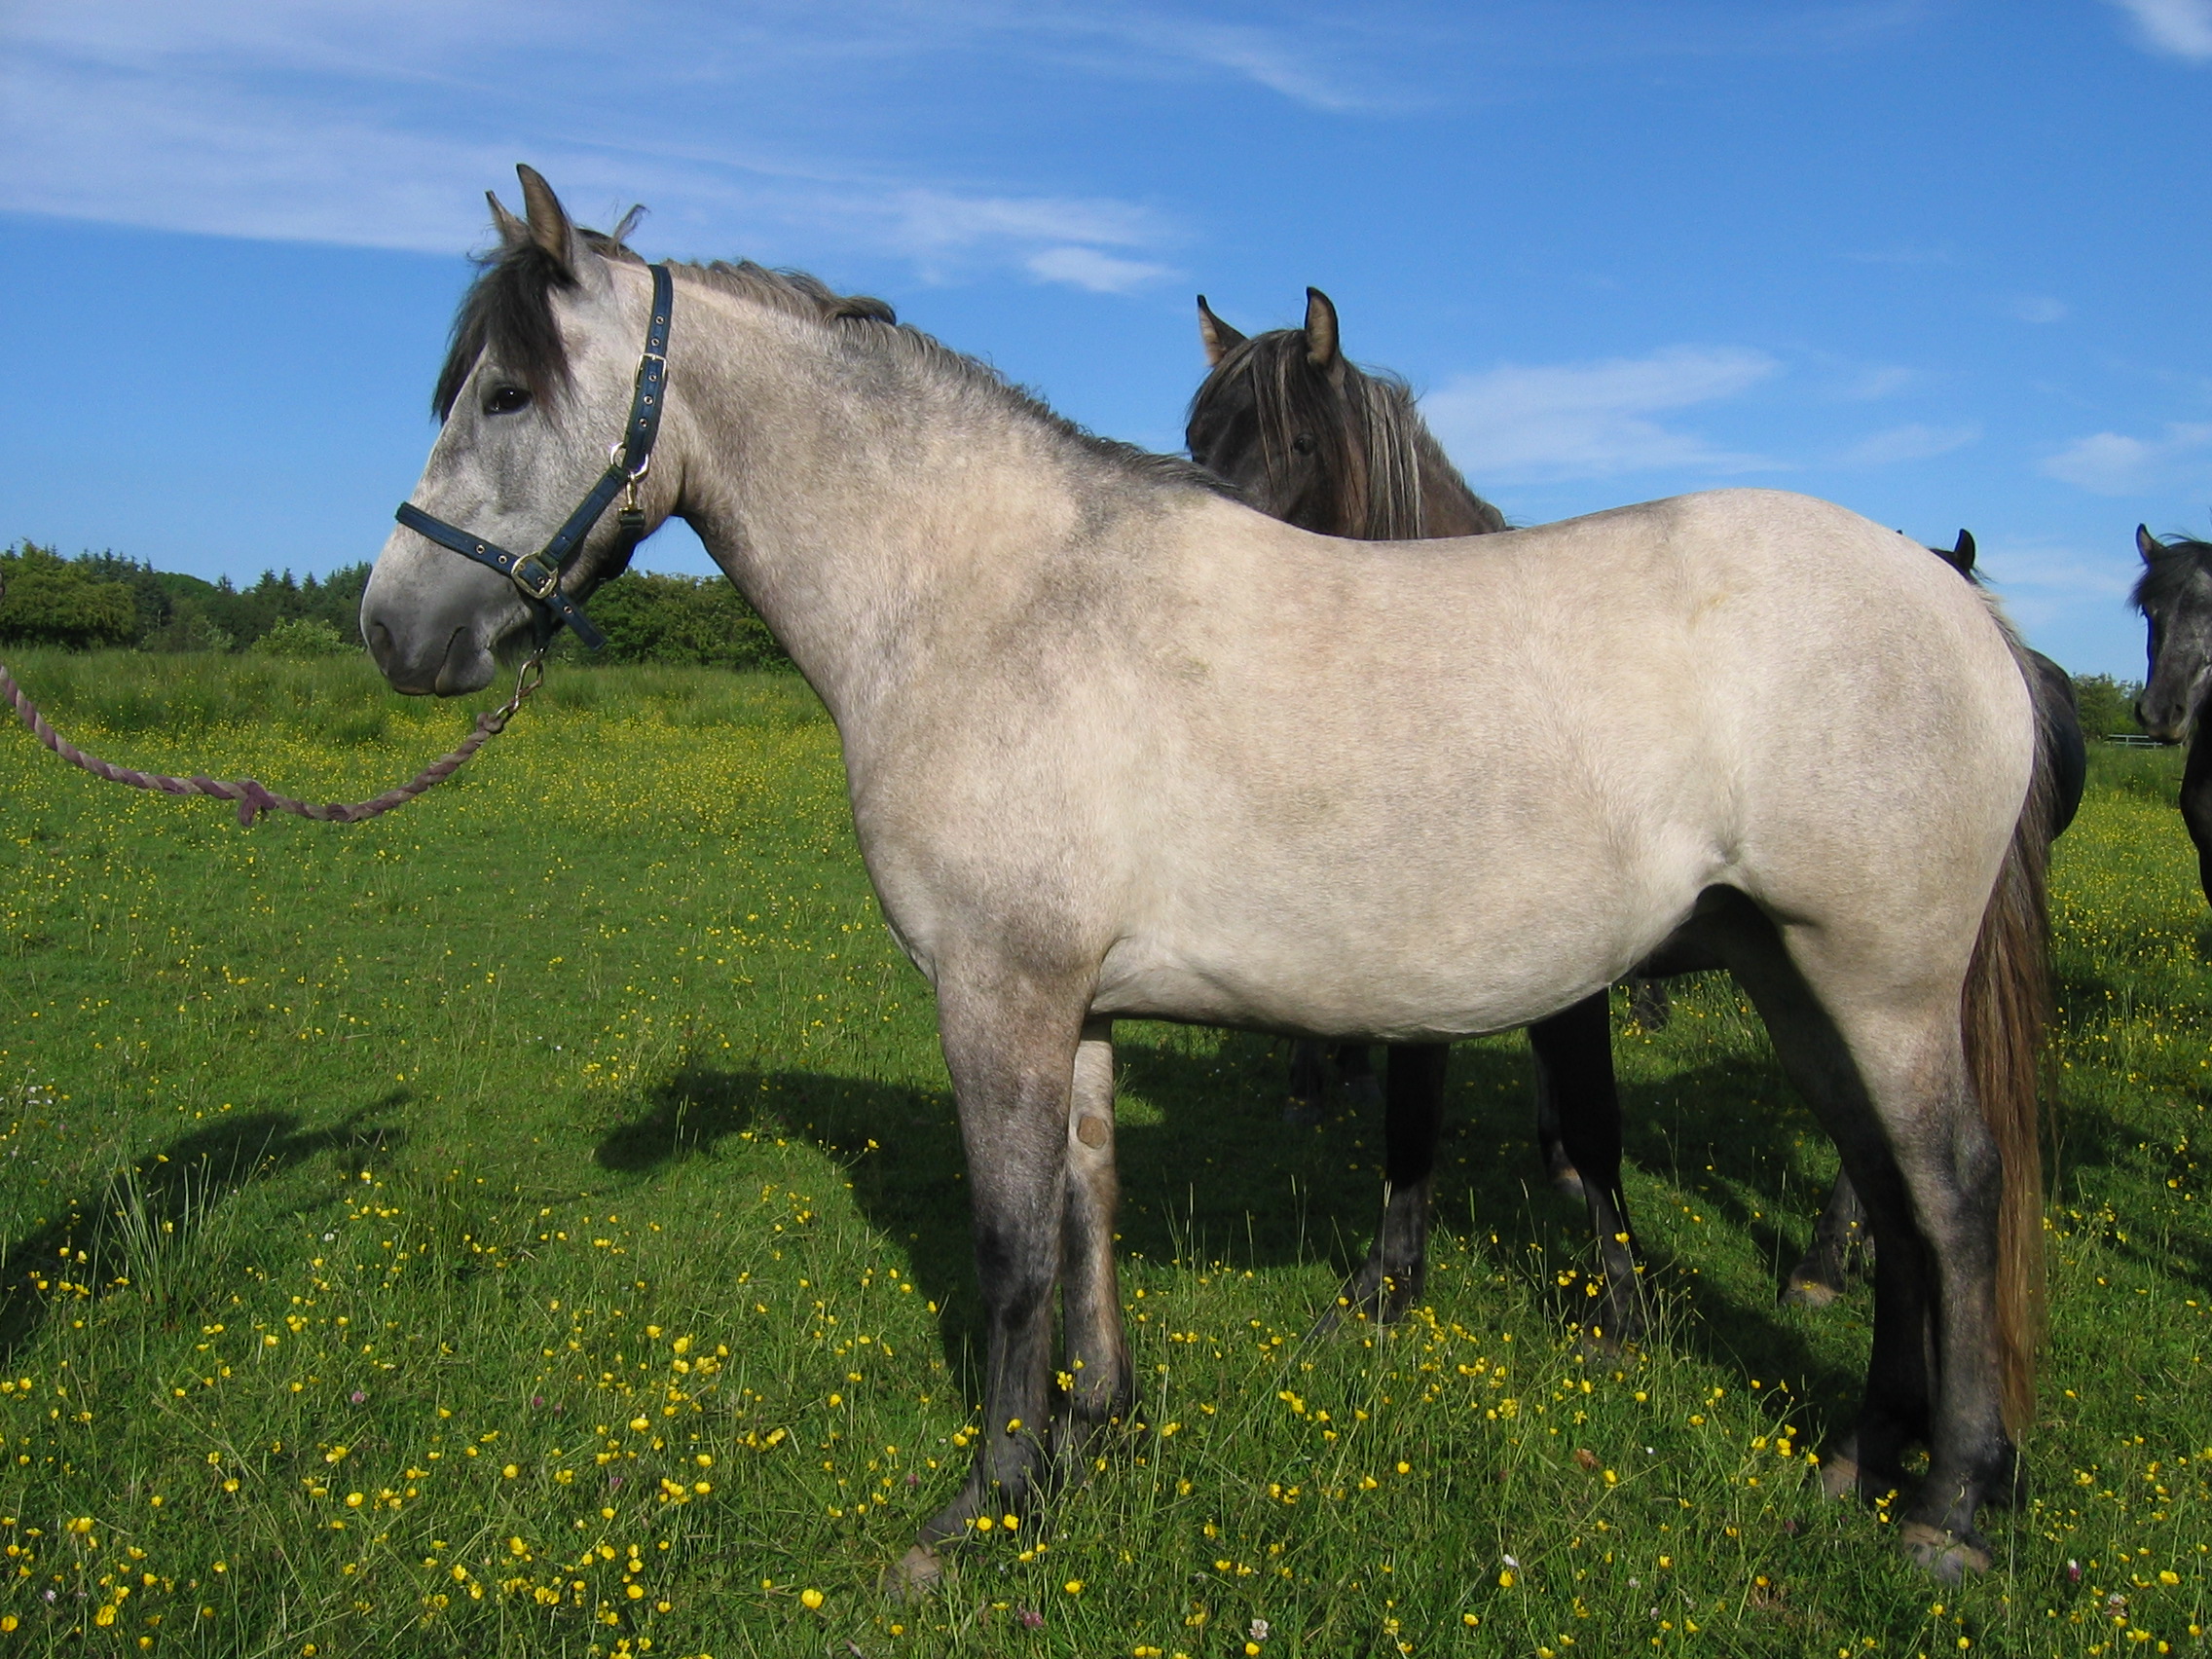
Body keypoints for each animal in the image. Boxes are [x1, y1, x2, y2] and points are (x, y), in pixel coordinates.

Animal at [364, 167, 2053, 1584]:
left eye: (505, 390)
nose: (394, 631)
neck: (992, 597)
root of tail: (1960, 609)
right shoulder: (1076, 1005)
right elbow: (1087, 1208)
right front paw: (1089, 1441)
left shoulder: (997, 996)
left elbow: (1008, 1245)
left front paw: (978, 1513)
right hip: (1792, 978)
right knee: (1893, 1203)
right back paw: (1861, 1462)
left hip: (1880, 983)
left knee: (1954, 1195)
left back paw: (1952, 1511)